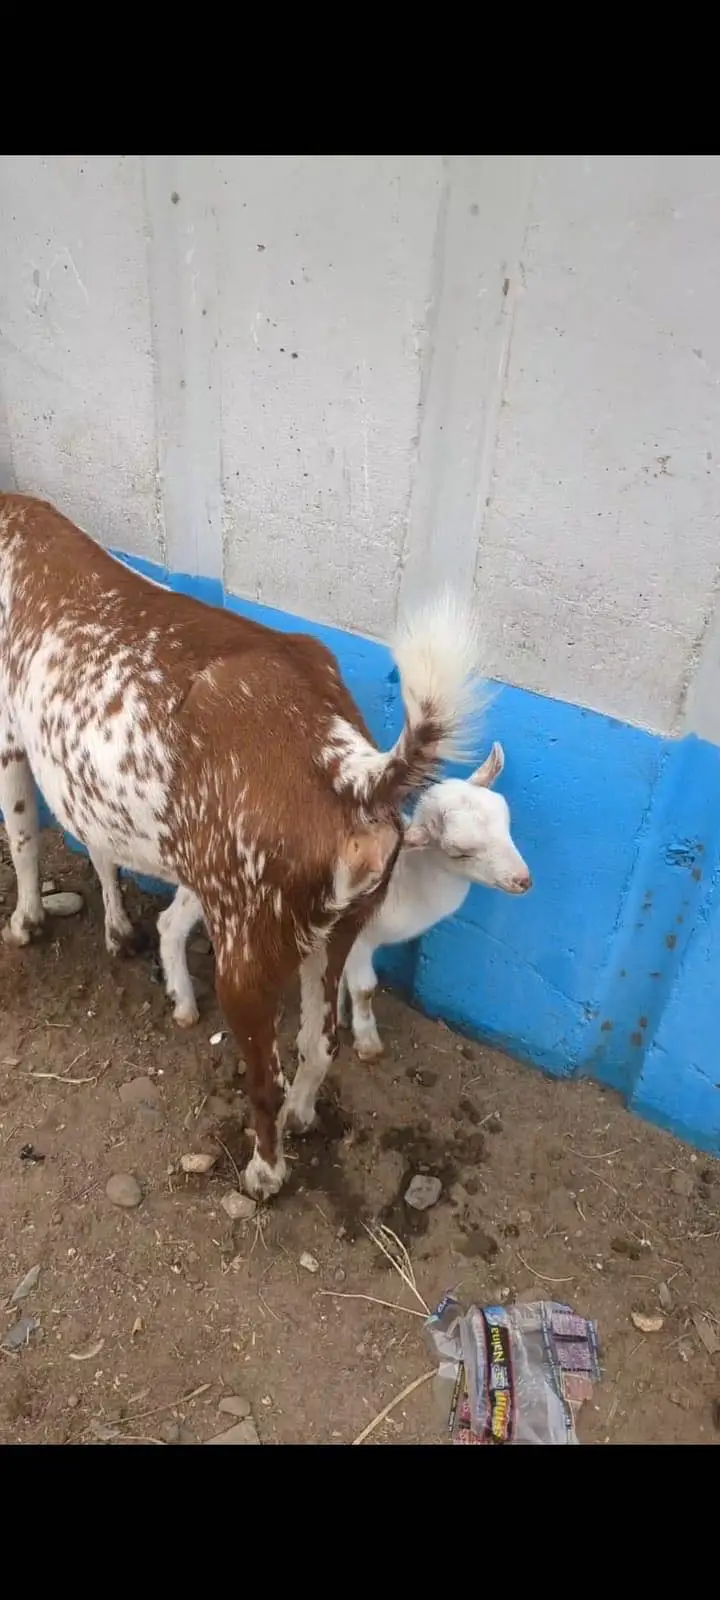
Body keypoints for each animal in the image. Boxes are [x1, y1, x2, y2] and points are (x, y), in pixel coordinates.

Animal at [0, 493, 482, 1200]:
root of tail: (351, 767)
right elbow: (99, 850)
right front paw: (118, 931)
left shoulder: (8, 739)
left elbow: (22, 835)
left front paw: (27, 923)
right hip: (334, 930)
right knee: (319, 1044)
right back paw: (304, 1115)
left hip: (247, 944)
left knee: (265, 1077)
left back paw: (263, 1172)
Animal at [339, 742, 532, 1060]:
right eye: (459, 853)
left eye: (506, 824)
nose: (523, 880)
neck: (404, 879)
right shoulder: (357, 935)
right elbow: (364, 988)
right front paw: (368, 1042)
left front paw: (340, 1017)